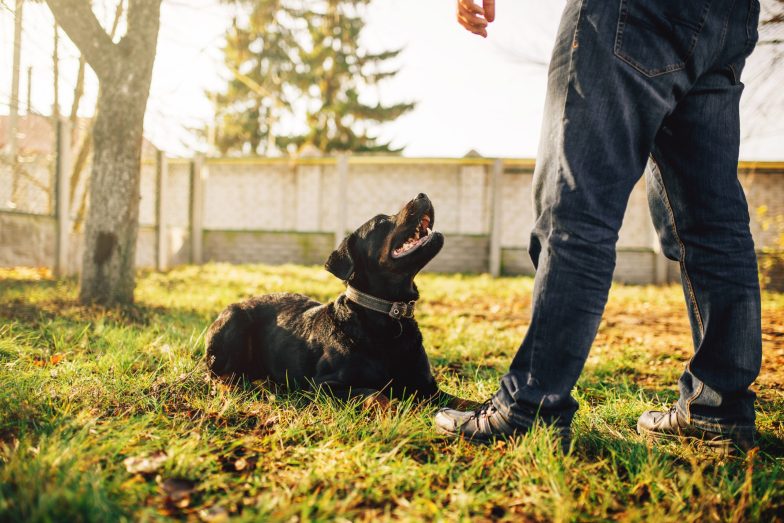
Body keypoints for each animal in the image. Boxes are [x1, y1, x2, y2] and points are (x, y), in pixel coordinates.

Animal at [207, 192, 472, 410]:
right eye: (381, 221)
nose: (422, 195)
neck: (386, 315)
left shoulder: (427, 387)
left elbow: (462, 402)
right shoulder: (323, 385)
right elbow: (374, 394)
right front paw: (396, 410)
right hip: (233, 320)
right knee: (219, 376)